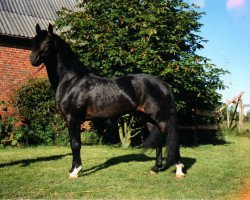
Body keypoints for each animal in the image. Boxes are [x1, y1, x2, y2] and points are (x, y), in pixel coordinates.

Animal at [30, 24, 185, 179]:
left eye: (48, 42)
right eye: (34, 40)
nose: (33, 59)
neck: (72, 81)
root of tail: (164, 85)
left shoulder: (73, 118)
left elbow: (75, 144)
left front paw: (76, 171)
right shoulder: (69, 120)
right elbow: (73, 143)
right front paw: (72, 169)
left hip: (161, 118)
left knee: (173, 138)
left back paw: (179, 170)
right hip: (150, 119)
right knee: (159, 141)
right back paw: (155, 168)